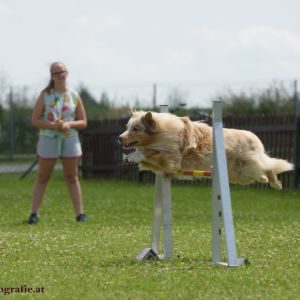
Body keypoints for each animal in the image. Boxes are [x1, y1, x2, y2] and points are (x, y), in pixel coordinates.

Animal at [119, 110, 292, 190]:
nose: (120, 138)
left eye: (135, 129)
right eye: (127, 127)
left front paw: (134, 156)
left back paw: (276, 184)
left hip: (248, 165)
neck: (162, 131)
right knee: (263, 171)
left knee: (269, 167)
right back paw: (265, 180)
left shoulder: (172, 157)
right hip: (239, 174)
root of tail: (255, 138)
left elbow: (150, 152)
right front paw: (129, 157)